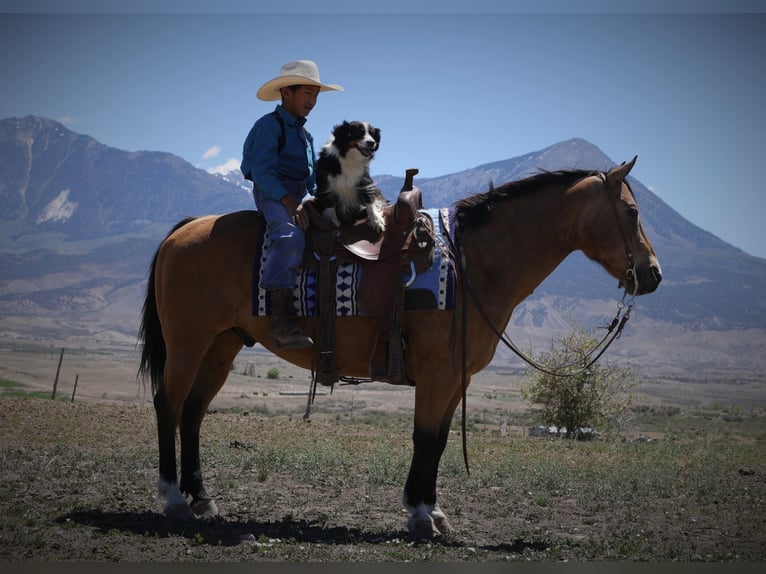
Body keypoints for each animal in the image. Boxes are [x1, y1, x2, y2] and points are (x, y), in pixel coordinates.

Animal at [136, 156, 660, 540]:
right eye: (632, 212)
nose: (653, 274)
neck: (476, 264)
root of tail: (183, 230)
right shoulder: (437, 374)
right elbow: (425, 439)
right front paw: (421, 516)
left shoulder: (455, 378)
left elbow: (440, 441)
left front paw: (434, 510)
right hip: (188, 343)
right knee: (169, 405)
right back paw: (174, 499)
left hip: (221, 346)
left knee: (193, 412)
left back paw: (203, 498)